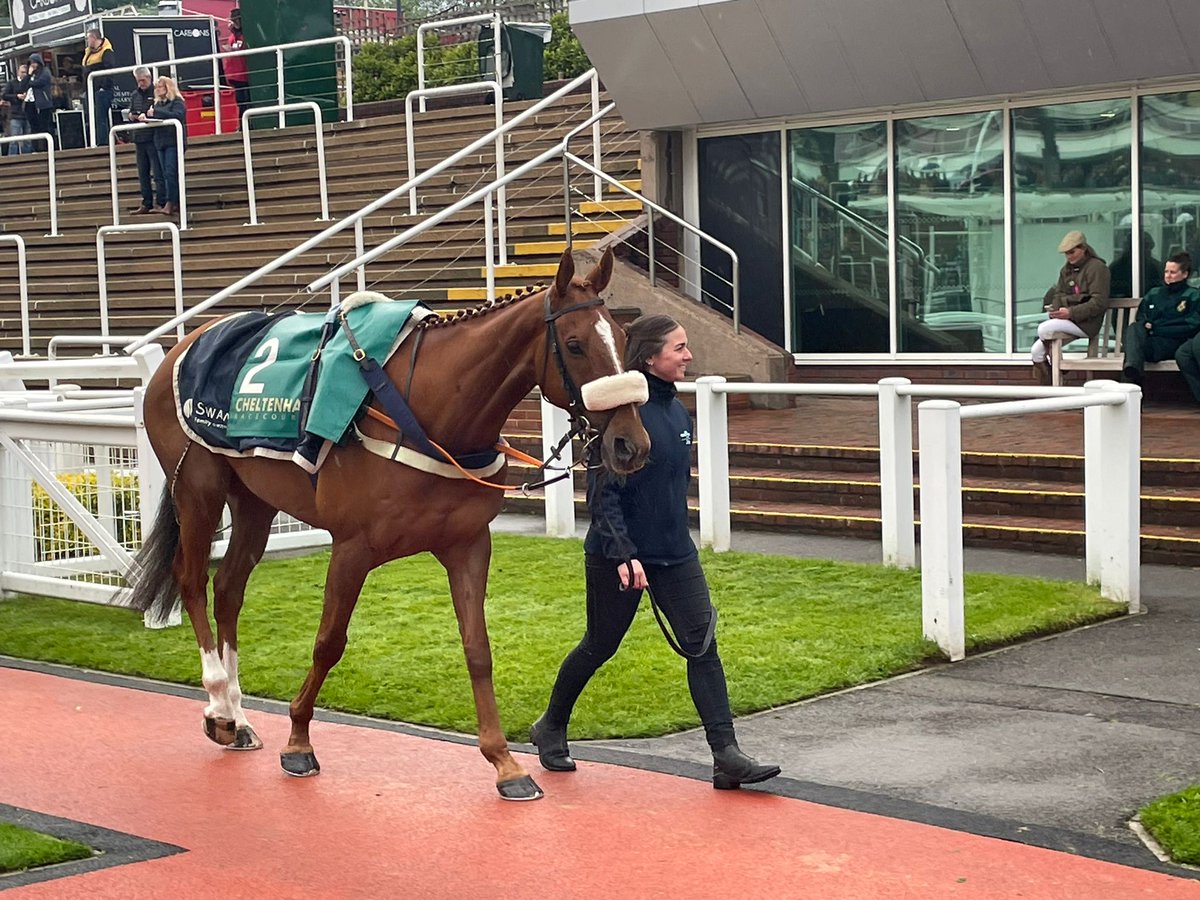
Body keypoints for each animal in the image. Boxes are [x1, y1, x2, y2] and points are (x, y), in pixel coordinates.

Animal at [127, 248, 652, 801]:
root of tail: (182, 346)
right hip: (198, 488)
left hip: (254, 500)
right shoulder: (352, 547)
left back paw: (237, 715)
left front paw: (504, 762)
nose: (630, 444)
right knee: (192, 579)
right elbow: (329, 642)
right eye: (574, 344)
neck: (426, 414)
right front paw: (298, 741)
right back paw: (219, 705)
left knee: (228, 588)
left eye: (621, 339)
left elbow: (478, 649)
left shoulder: (468, 544)